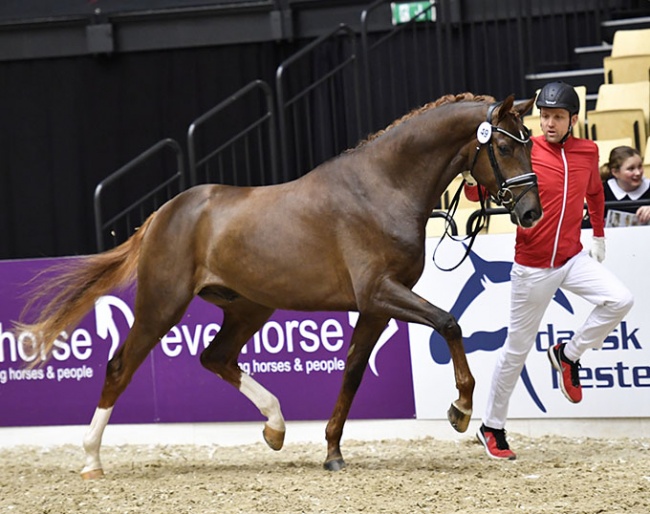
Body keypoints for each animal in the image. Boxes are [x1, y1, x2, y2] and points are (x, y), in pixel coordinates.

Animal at [20, 92, 540, 476]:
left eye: (530, 141)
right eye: (505, 147)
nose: (531, 211)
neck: (382, 188)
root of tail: (161, 215)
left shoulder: (375, 307)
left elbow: (352, 371)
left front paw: (332, 452)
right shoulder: (380, 292)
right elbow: (449, 323)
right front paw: (460, 409)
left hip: (249, 306)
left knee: (215, 357)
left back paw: (275, 426)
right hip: (162, 305)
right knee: (119, 367)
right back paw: (91, 458)